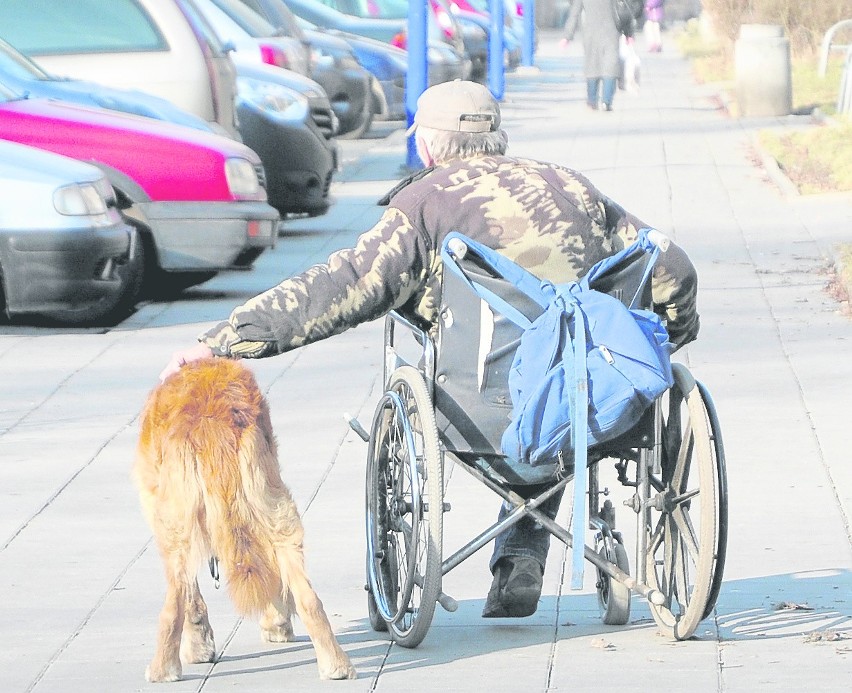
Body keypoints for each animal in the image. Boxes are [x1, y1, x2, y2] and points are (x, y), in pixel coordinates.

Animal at [132, 356, 356, 680]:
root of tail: (210, 419)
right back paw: (335, 664)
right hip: (275, 509)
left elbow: (191, 596)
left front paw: (198, 645)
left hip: (174, 527)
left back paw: (162, 669)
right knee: (306, 594)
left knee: (175, 598)